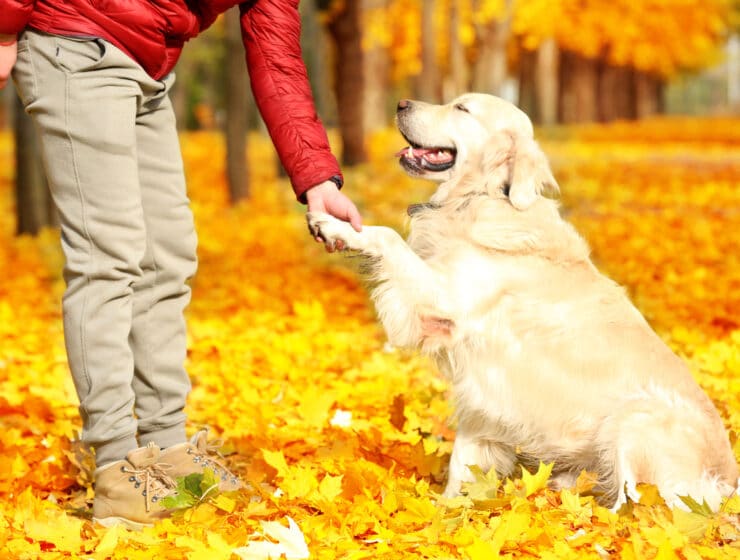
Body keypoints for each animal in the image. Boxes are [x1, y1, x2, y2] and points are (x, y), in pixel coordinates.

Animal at [304, 94, 736, 510]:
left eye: (461, 107)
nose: (401, 103)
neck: (483, 197)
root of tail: (729, 482)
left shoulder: (445, 300)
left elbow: (388, 236)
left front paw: (335, 225)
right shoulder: (483, 384)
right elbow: (464, 461)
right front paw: (448, 511)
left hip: (634, 419)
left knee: (645, 505)